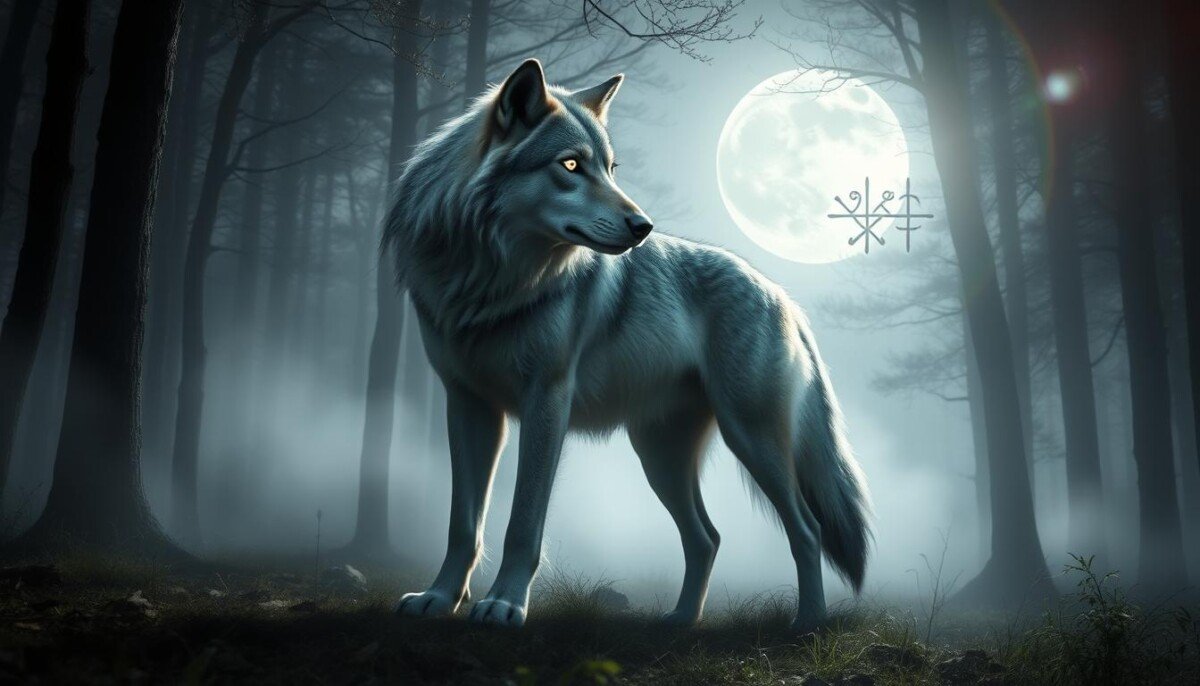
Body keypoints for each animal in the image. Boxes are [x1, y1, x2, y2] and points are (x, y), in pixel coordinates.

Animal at [384, 59, 870, 631]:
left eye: (611, 168)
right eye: (572, 165)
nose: (643, 226)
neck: (491, 278)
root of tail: (784, 298)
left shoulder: (547, 401)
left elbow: (522, 524)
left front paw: (504, 605)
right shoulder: (468, 404)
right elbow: (463, 523)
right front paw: (439, 598)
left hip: (750, 439)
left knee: (807, 530)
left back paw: (807, 624)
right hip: (659, 456)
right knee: (707, 538)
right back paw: (680, 620)